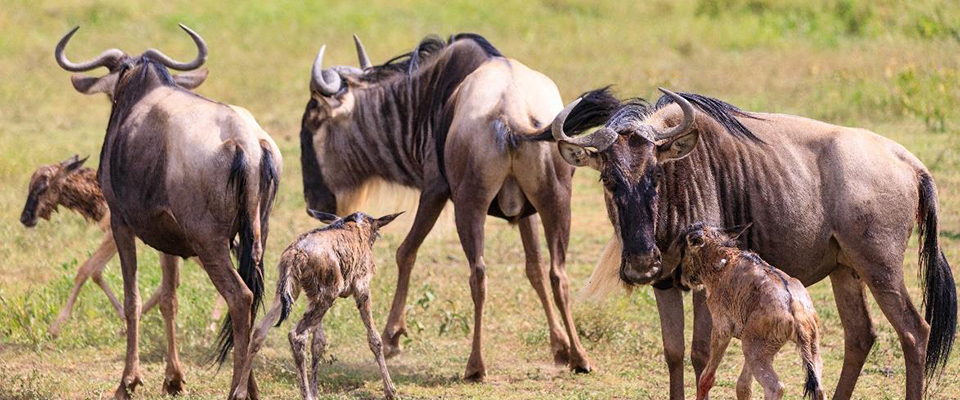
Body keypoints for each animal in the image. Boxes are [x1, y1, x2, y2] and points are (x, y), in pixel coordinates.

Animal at [249, 211, 404, 398]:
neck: (357, 227)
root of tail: (296, 252)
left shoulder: (313, 296)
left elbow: (318, 343)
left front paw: (316, 392)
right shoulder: (362, 289)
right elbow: (375, 339)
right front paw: (391, 391)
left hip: (290, 294)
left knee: (259, 331)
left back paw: (240, 391)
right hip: (328, 296)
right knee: (297, 336)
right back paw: (306, 395)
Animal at [676, 223, 824, 398]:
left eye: (685, 247)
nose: (681, 278)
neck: (723, 261)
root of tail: (795, 310)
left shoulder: (722, 329)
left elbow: (707, 377)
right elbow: (743, 386)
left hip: (755, 350)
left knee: (776, 387)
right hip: (810, 348)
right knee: (819, 388)